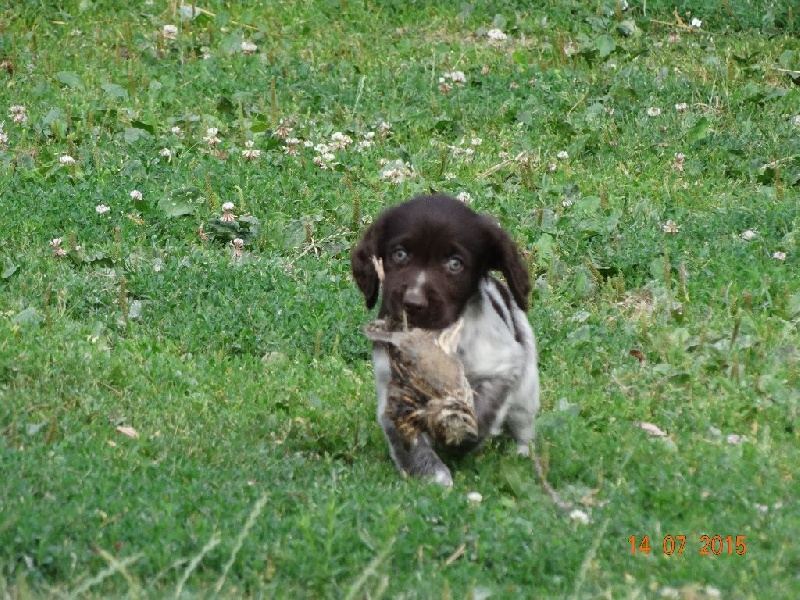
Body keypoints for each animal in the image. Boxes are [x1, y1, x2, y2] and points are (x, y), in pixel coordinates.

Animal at [354, 195, 540, 486]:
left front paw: (460, 437)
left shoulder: (501, 366)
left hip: (527, 387)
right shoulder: (394, 392)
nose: (413, 303)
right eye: (400, 254)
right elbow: (409, 440)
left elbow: (481, 411)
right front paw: (434, 478)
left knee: (523, 424)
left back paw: (523, 454)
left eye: (455, 264)